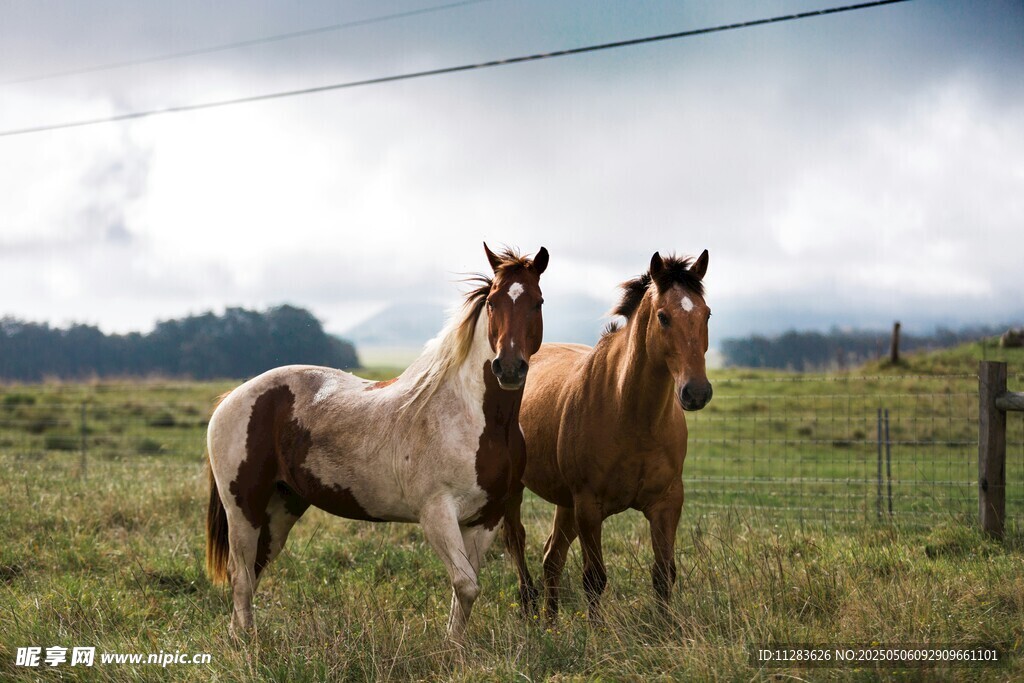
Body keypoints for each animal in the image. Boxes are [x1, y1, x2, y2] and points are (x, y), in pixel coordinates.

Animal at [205, 243, 548, 640]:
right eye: (493, 302)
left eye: (537, 302)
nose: (508, 368)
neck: (479, 420)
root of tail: (232, 397)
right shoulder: (437, 514)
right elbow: (465, 586)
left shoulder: (486, 518)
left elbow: (465, 591)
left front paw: (456, 647)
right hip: (242, 508)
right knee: (241, 575)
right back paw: (248, 643)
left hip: (281, 508)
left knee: (254, 570)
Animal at [503, 250, 712, 621]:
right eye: (663, 316)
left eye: (707, 313)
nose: (696, 392)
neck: (632, 417)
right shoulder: (589, 506)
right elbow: (594, 578)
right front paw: (596, 631)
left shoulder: (667, 502)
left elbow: (663, 573)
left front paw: (664, 628)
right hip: (520, 490)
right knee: (517, 541)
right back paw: (530, 608)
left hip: (565, 502)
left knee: (552, 557)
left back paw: (551, 623)